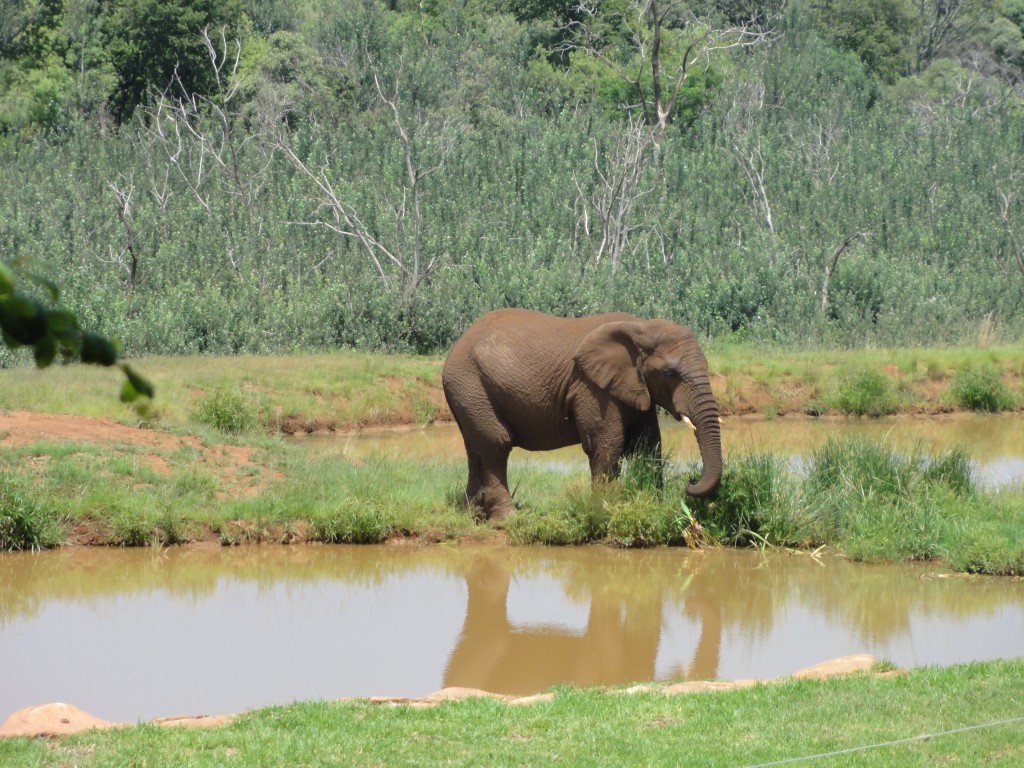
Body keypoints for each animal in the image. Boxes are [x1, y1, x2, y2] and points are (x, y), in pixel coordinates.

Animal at [441, 308, 722, 521]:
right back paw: (507, 519)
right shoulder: (592, 387)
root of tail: (455, 347)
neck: (641, 327)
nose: (690, 481)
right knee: (496, 444)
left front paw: (652, 505)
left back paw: (472, 516)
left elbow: (649, 444)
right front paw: (605, 510)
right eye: (670, 374)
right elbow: (607, 443)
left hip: (467, 392)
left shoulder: (635, 388)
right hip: (471, 385)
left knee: (475, 448)